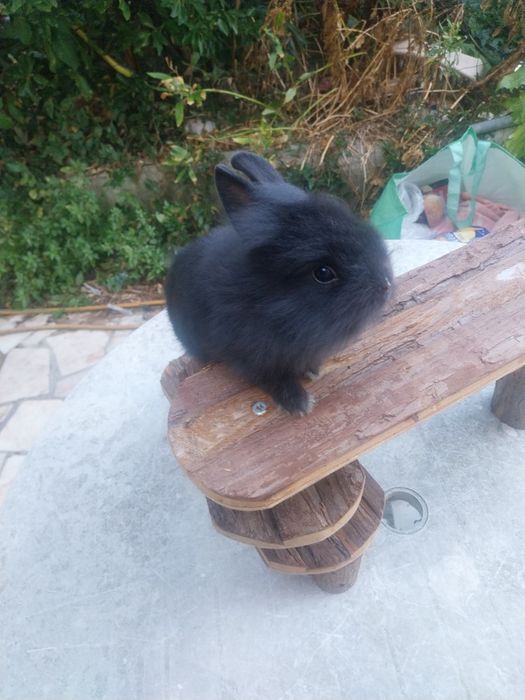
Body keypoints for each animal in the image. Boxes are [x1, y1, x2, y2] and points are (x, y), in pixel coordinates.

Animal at [165, 151, 393, 415]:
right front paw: (299, 404)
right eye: (323, 273)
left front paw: (313, 371)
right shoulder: (251, 358)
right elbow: (272, 379)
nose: (385, 285)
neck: (268, 301)